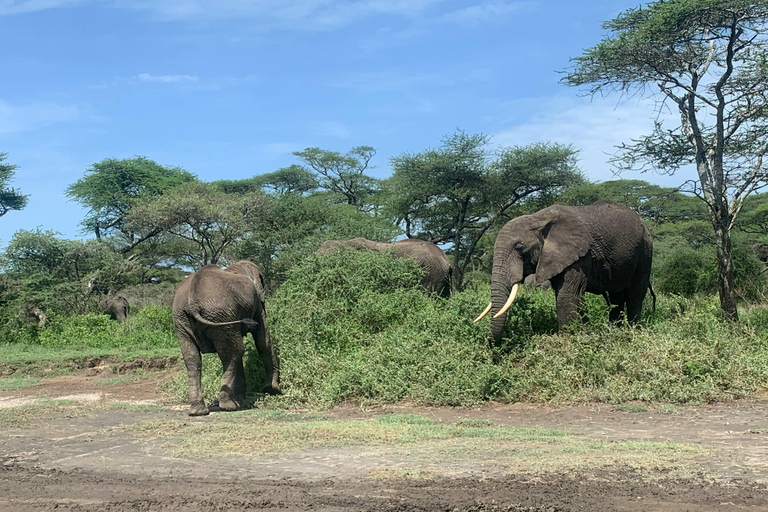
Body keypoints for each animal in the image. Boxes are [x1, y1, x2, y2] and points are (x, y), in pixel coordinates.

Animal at [172, 260, 280, 416]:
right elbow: (263, 341)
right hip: (219, 315)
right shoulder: (256, 303)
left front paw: (242, 396)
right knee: (234, 353)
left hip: (183, 319)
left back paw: (198, 411)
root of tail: (193, 305)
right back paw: (229, 406)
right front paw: (272, 390)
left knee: (193, 358)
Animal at [474, 202, 656, 346]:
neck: (538, 219)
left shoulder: (580, 256)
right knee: (616, 297)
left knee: (635, 295)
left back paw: (633, 332)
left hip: (645, 250)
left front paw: (567, 341)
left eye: (519, 248)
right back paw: (613, 332)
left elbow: (566, 295)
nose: (493, 347)